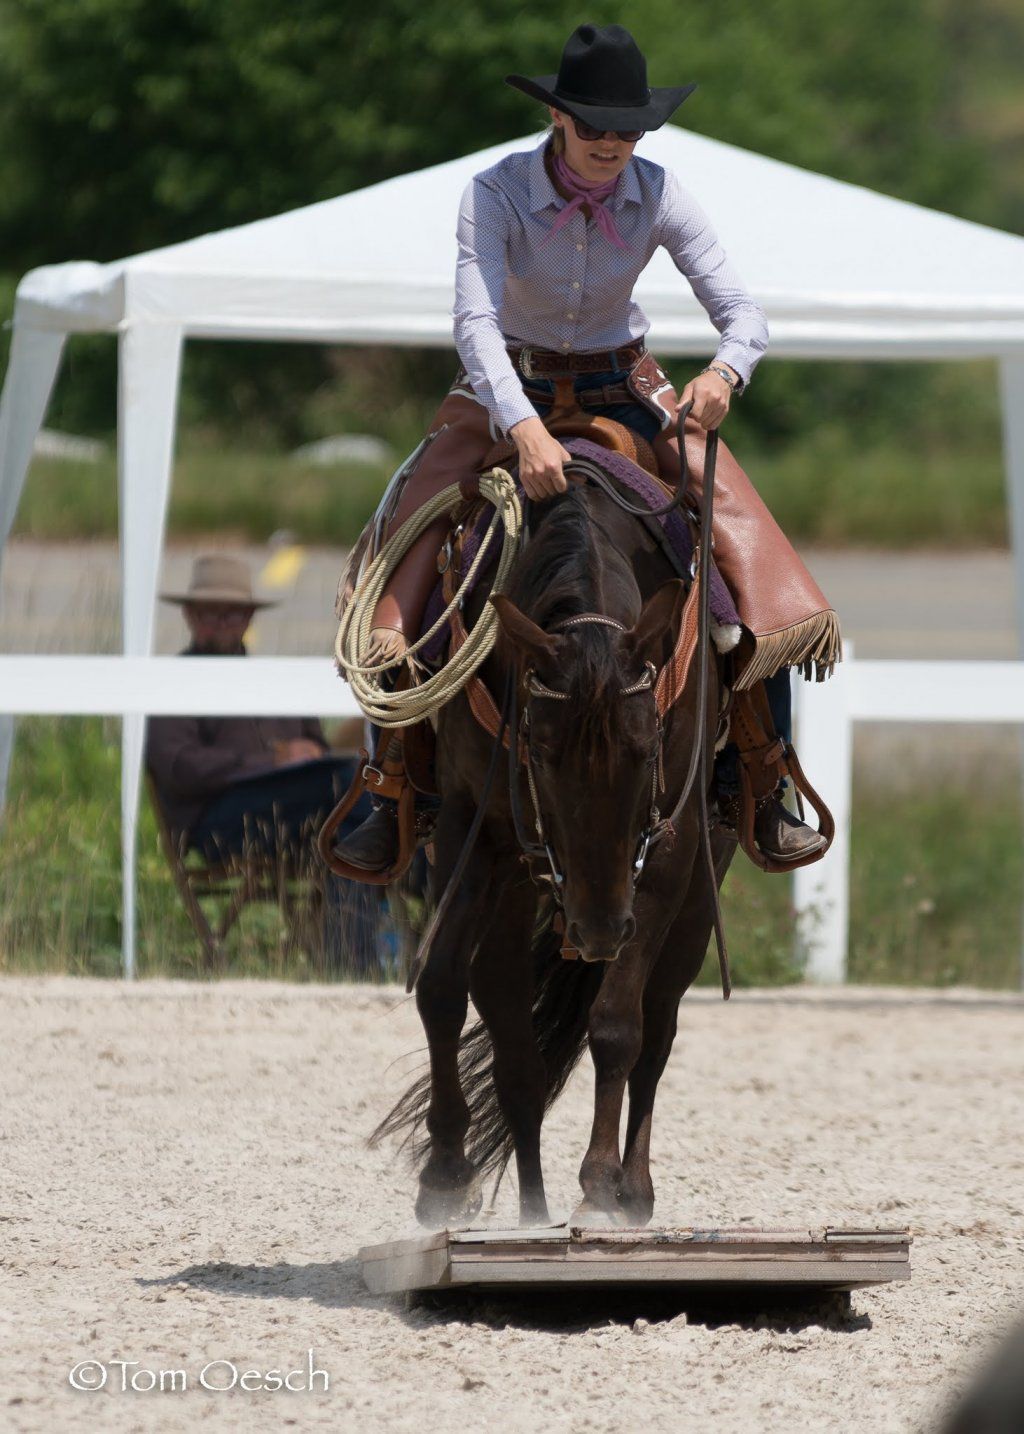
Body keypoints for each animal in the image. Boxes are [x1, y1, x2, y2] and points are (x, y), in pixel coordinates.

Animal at [372, 453, 735, 1228]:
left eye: (648, 747)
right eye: (538, 749)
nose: (597, 930)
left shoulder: (668, 850)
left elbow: (618, 1023)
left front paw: (599, 1186)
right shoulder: (472, 832)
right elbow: (442, 988)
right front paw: (444, 1177)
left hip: (697, 894)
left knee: (658, 1028)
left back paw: (634, 1191)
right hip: (513, 891)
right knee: (516, 1050)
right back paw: (533, 1211)